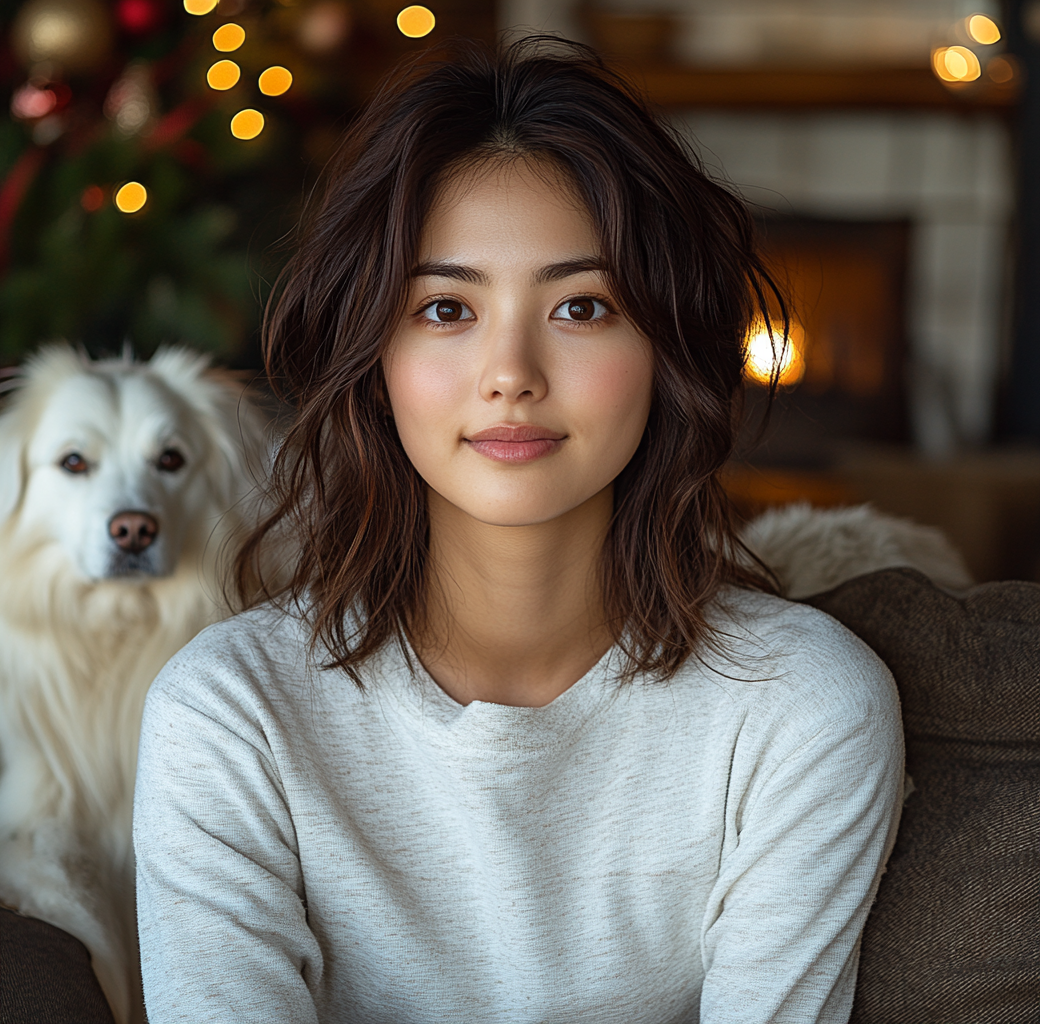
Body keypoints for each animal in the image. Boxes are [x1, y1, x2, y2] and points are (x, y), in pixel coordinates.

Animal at [1, 343, 268, 1022]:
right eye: (73, 462)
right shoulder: (37, 822)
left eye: (170, 460)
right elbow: (95, 931)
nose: (133, 529)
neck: (114, 634)